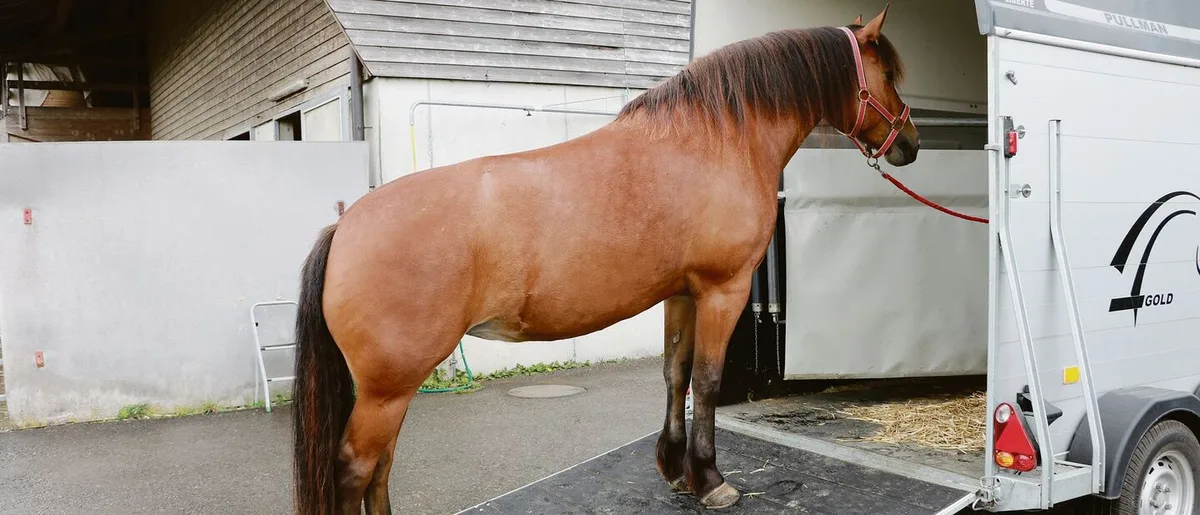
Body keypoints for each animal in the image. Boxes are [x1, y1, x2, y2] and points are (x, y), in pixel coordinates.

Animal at [291, 4, 918, 513]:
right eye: (886, 74)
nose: (910, 144)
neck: (715, 141)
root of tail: (345, 226)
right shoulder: (724, 290)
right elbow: (708, 380)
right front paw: (711, 479)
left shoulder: (681, 292)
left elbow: (674, 372)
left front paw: (675, 468)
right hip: (387, 389)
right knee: (355, 470)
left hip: (391, 390)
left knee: (380, 470)